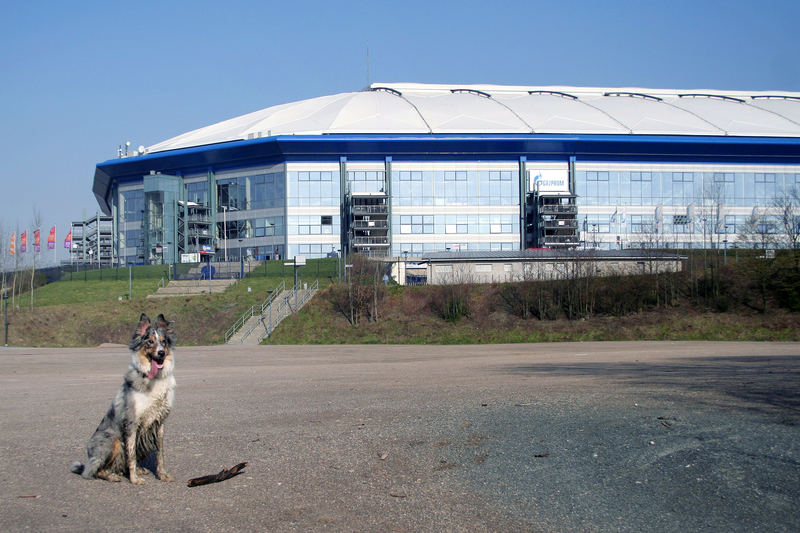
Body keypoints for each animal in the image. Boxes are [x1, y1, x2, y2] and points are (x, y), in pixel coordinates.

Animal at [71, 312, 177, 482]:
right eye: (150, 342)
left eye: (163, 342)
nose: (161, 353)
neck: (153, 379)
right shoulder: (132, 422)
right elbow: (131, 454)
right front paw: (135, 480)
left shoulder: (160, 422)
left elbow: (160, 453)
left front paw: (162, 474)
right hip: (112, 441)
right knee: (95, 471)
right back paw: (112, 476)